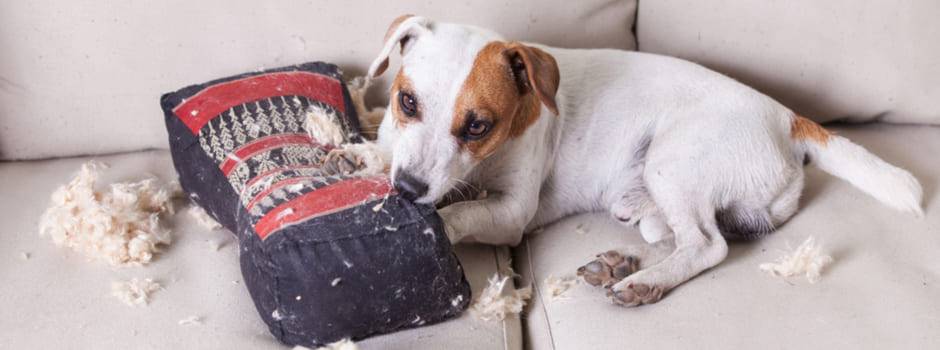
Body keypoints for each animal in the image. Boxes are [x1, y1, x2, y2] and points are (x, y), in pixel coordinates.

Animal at [364, 15, 920, 306]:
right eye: (407, 101)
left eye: (478, 126)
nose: (407, 190)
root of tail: (788, 117)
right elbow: (378, 154)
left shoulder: (509, 213)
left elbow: (460, 211)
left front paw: (436, 219)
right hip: (653, 201)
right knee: (678, 237)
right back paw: (624, 264)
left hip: (671, 165)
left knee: (708, 246)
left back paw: (643, 282)